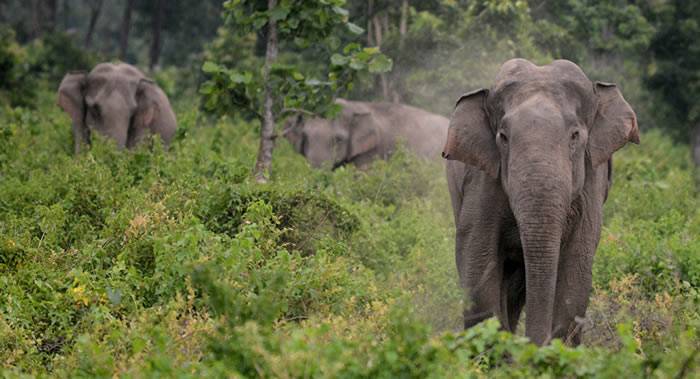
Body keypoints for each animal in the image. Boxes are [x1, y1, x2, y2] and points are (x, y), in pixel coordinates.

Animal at [442, 59, 640, 348]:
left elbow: (576, 266)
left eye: (575, 136)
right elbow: (478, 255)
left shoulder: (591, 180)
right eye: (503, 137)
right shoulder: (482, 179)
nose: (534, 345)